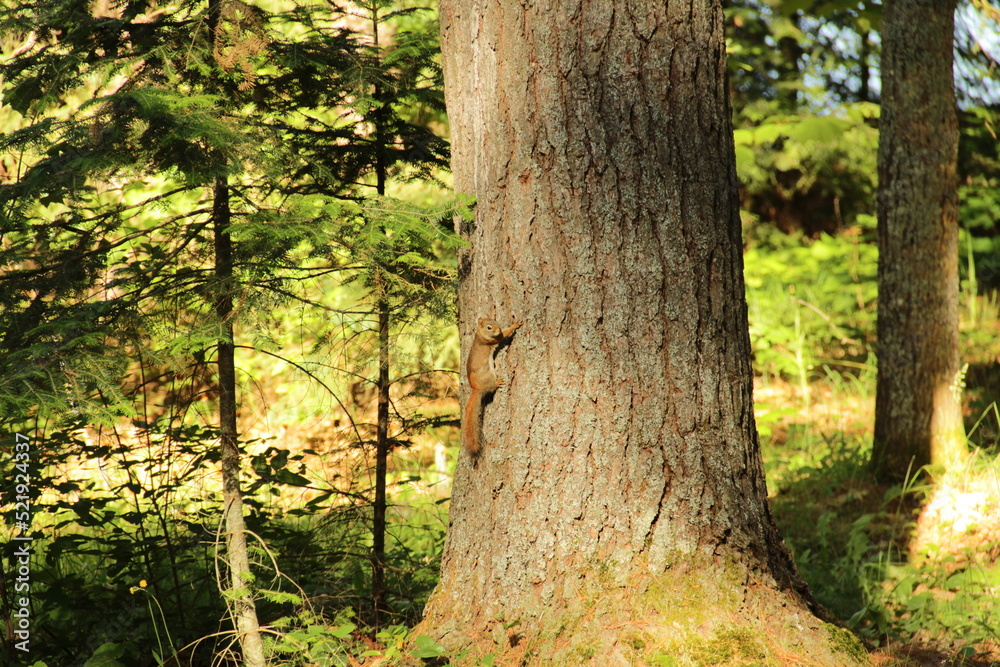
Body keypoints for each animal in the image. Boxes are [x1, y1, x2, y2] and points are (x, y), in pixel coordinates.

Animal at [462, 317, 522, 454]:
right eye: (489, 327)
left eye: (495, 321)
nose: (498, 329)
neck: (479, 334)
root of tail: (476, 388)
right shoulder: (492, 340)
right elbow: (504, 335)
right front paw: (515, 325)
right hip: (489, 376)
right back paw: (498, 382)